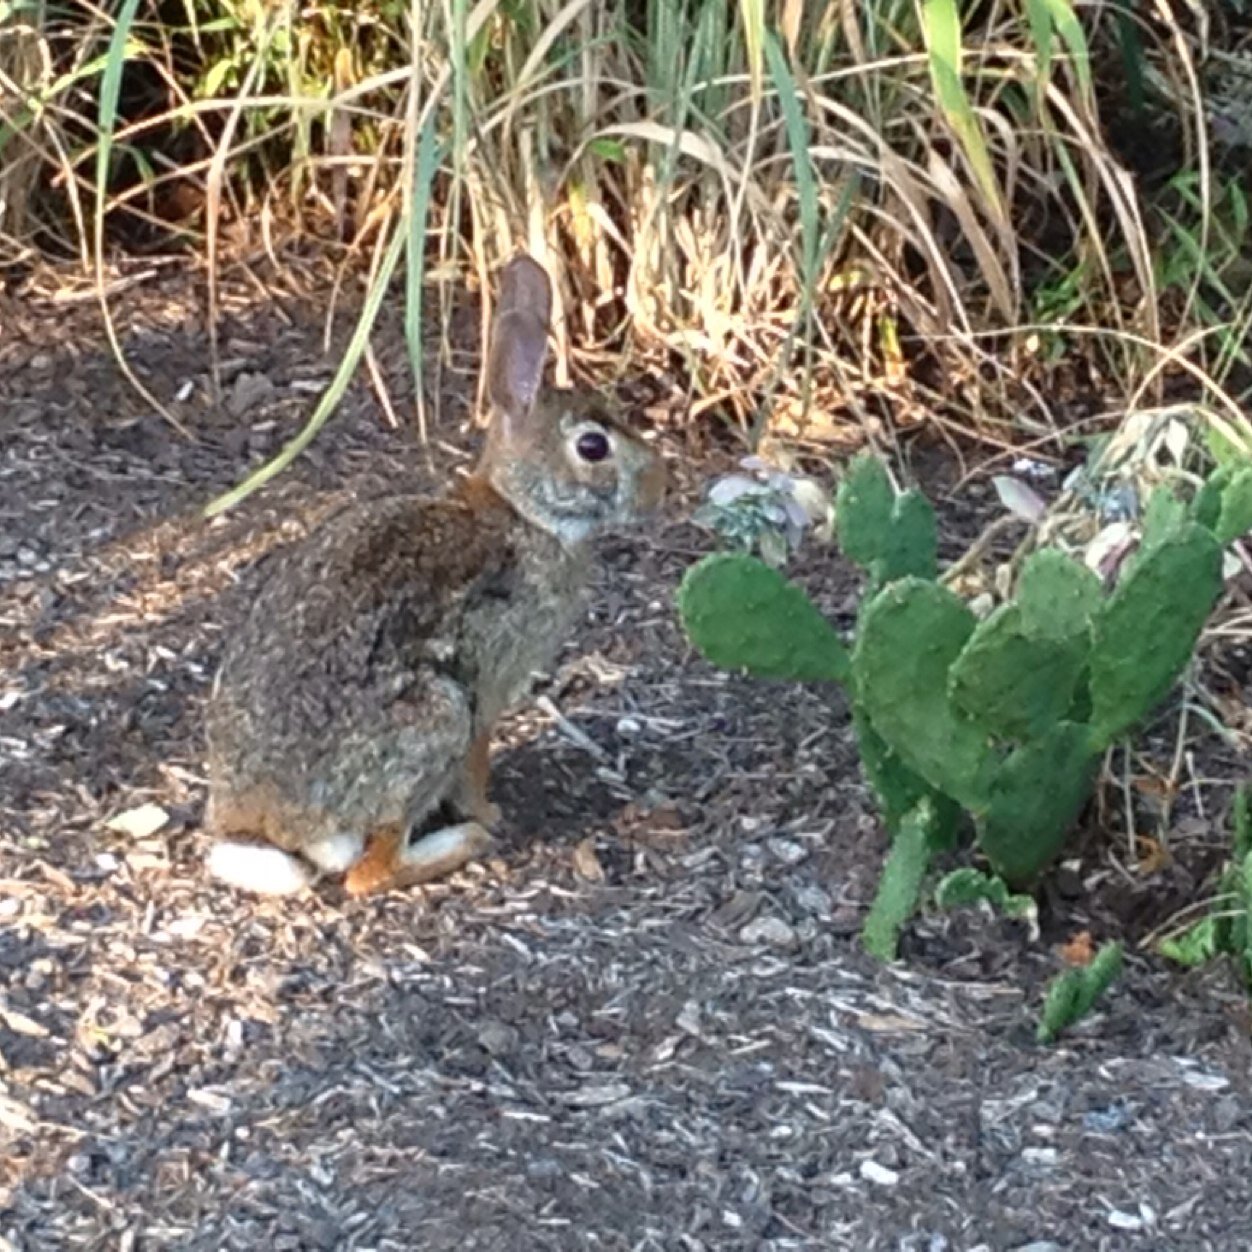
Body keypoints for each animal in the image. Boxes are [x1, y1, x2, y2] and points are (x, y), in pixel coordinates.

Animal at [204, 256, 666, 901]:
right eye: (593, 446)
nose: (658, 485)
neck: (522, 514)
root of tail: (270, 823)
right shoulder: (487, 692)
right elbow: (477, 763)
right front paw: (488, 813)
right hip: (437, 717)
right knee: (369, 873)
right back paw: (462, 842)